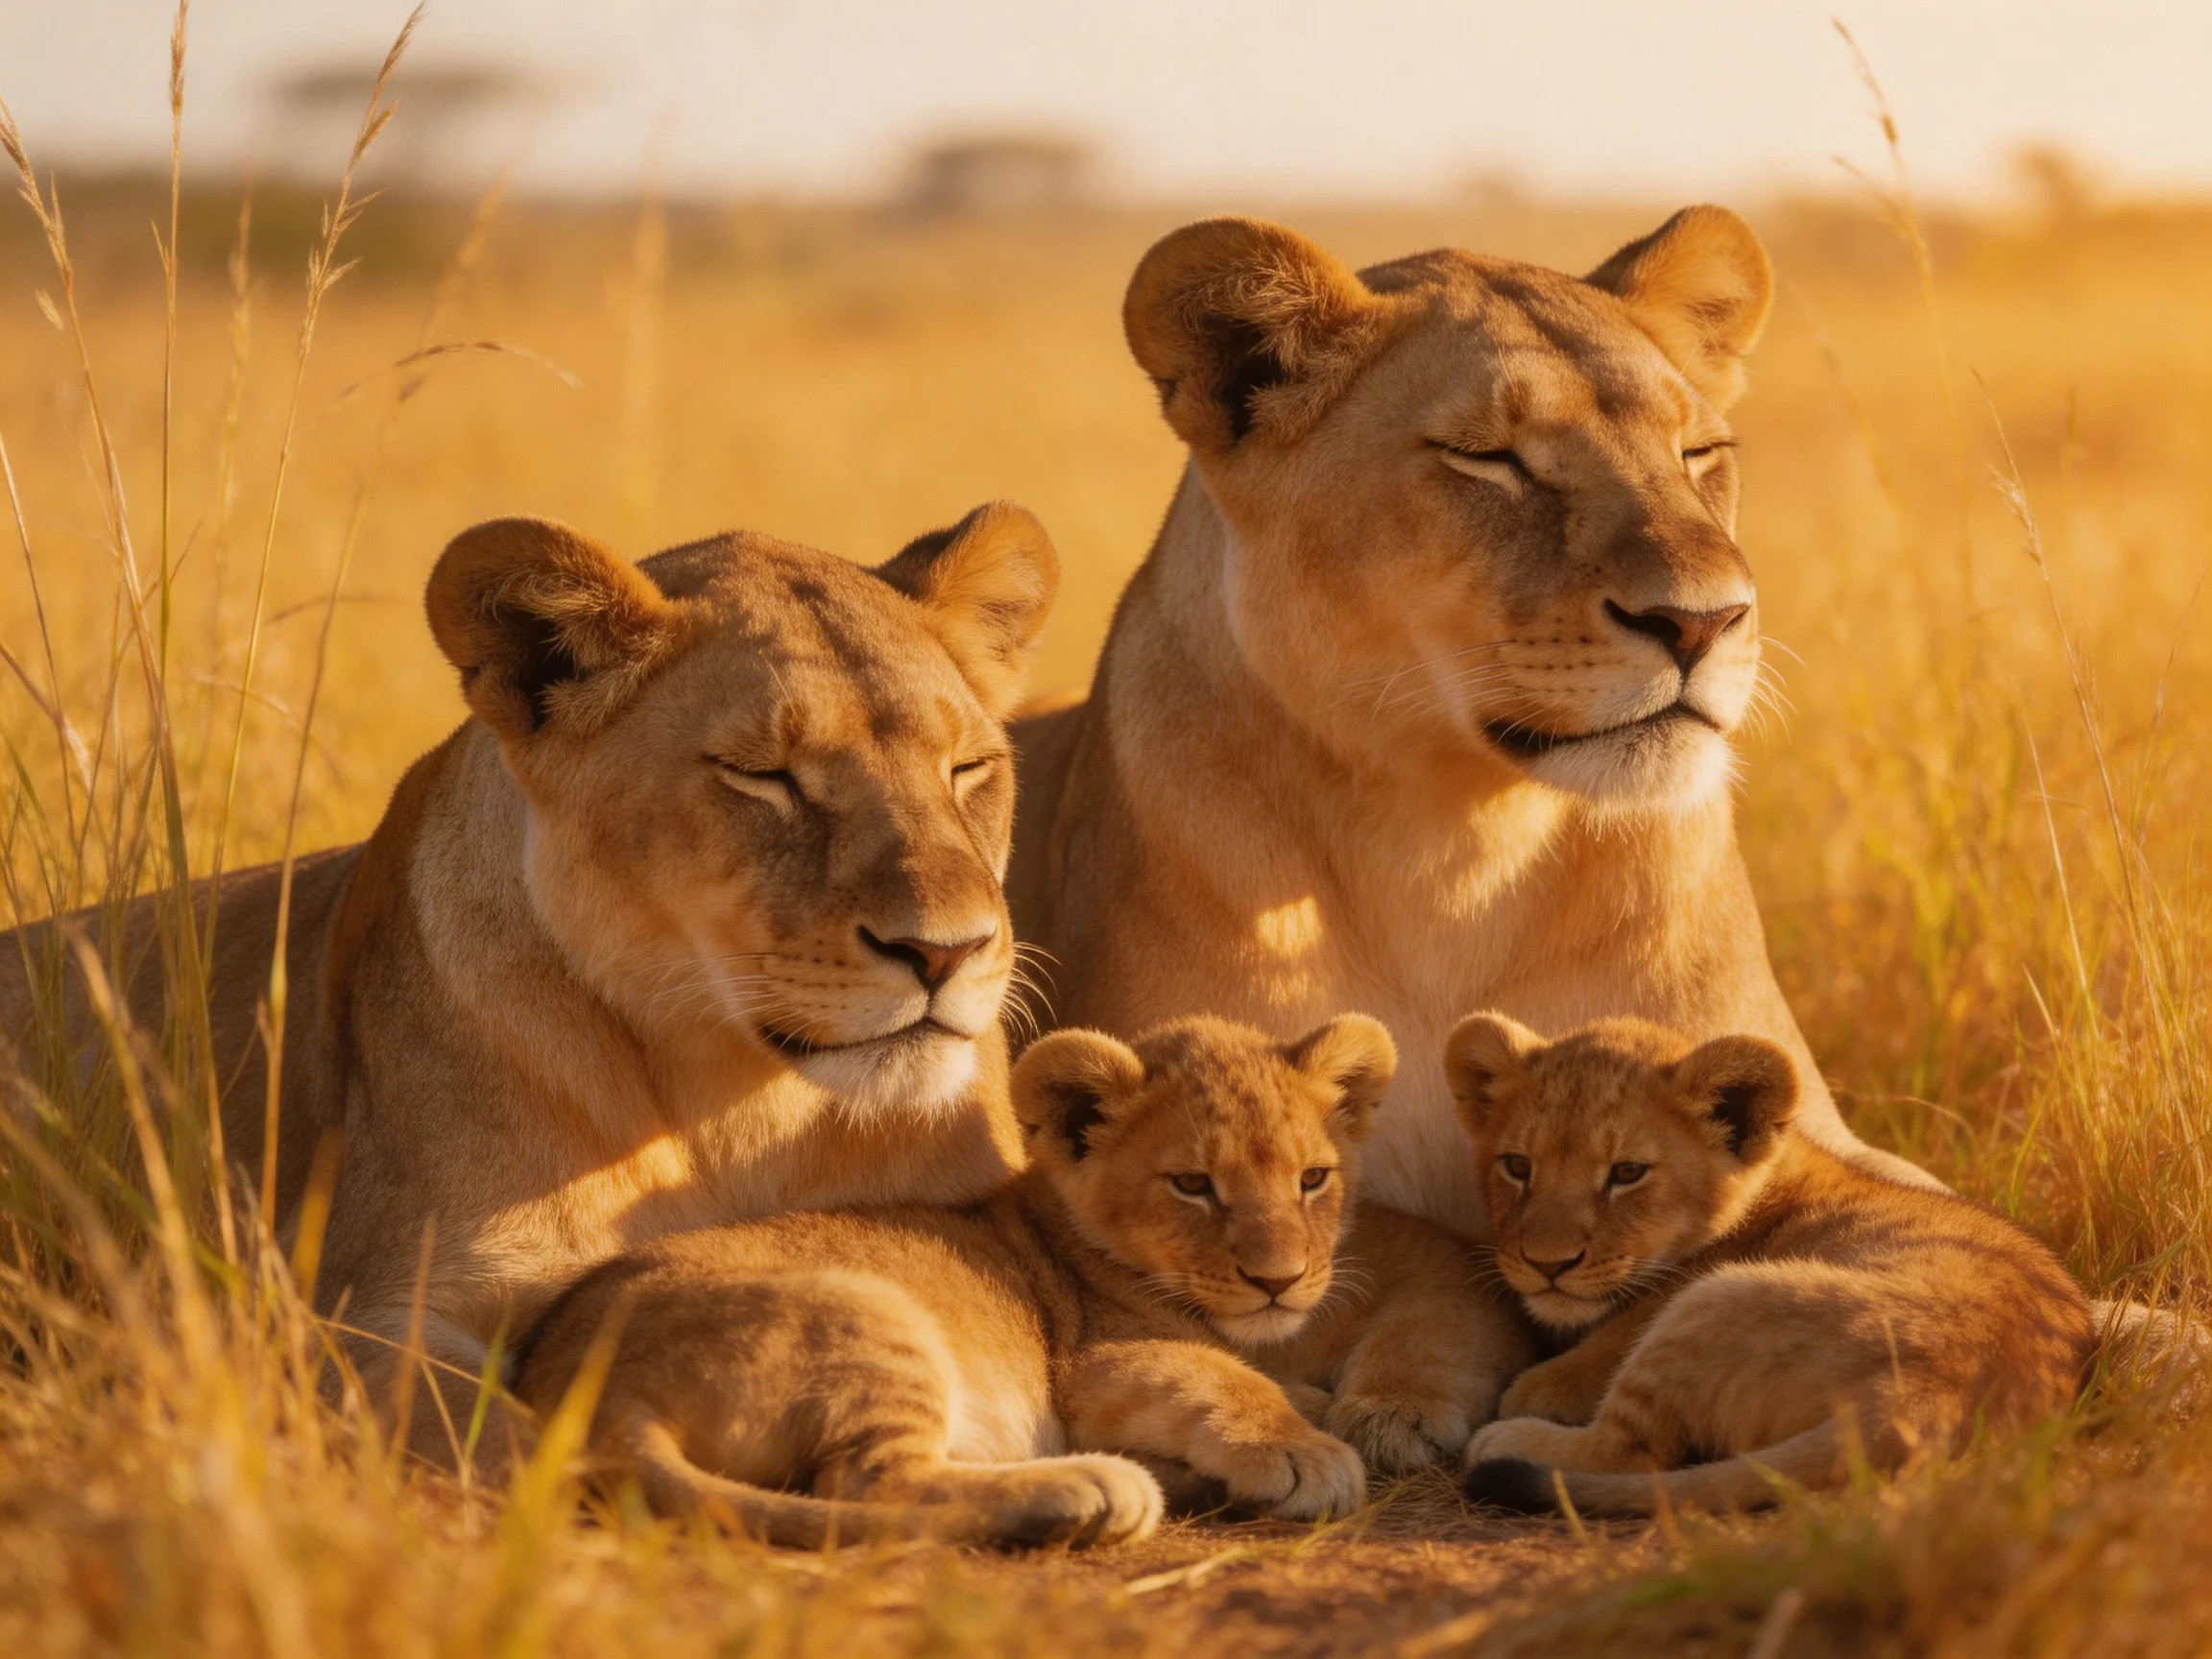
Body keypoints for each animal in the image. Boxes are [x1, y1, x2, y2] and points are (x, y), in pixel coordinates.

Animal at [2, 503, 1059, 1465]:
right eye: (760, 774)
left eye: (970, 767)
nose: (948, 951)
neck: (730, 1110)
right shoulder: (360, 1310)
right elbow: (512, 1446)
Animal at [514, 1012, 1495, 1545]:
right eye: (1193, 1185)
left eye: (1313, 1179)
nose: (1280, 1281)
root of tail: (578, 1390)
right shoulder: (1103, 1360)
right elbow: (1227, 1380)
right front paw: (1305, 1453)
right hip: (875, 1316)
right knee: (874, 1485)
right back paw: (1093, 1489)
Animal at [1445, 1012, 2093, 1515]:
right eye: (1517, 1166)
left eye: (1627, 1173)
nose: (1546, 1264)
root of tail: (1934, 1392)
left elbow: (1591, 1364)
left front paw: (1542, 1387)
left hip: (1713, 1301)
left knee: (1628, 1452)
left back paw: (1506, 1440)